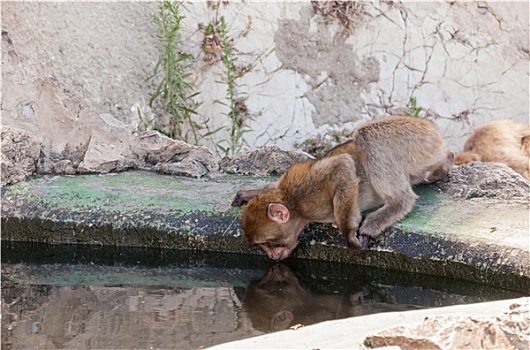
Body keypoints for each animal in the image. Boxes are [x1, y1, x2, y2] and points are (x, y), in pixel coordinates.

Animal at [231, 116, 450, 262]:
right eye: (262, 246)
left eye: (267, 243)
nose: (271, 255)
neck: (293, 206)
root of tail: (431, 126)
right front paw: (250, 193)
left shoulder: (307, 199)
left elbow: (342, 165)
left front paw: (349, 235)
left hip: (420, 139)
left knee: (366, 136)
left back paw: (393, 207)